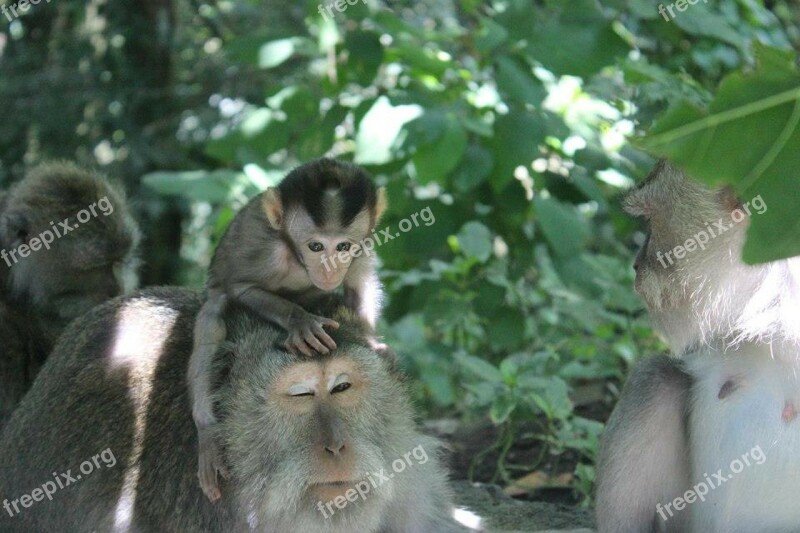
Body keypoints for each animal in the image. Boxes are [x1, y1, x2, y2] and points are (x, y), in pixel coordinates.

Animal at [188, 156, 388, 500]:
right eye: (316, 246)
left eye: (343, 246)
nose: (330, 270)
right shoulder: (268, 252)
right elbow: (240, 288)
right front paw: (300, 321)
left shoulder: (361, 248)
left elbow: (360, 283)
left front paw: (368, 338)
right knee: (214, 315)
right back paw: (208, 432)